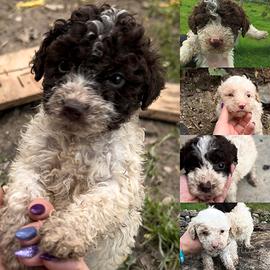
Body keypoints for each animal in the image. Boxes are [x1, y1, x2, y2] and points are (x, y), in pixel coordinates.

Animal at [0, 4, 165, 270]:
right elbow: (24, 194)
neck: (77, 141)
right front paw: (15, 239)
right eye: (64, 65)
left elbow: (97, 204)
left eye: (116, 78)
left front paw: (63, 233)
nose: (73, 106)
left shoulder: (119, 182)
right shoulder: (30, 161)